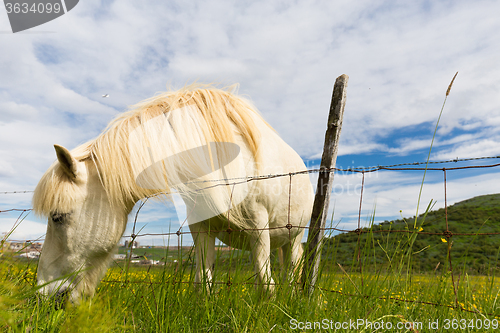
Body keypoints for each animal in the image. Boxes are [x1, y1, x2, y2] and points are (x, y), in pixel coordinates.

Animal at [33, 83, 312, 300]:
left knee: (291, 273)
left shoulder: (258, 227)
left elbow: (265, 285)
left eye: (57, 217)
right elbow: (203, 283)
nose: (42, 294)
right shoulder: (201, 229)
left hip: (293, 237)